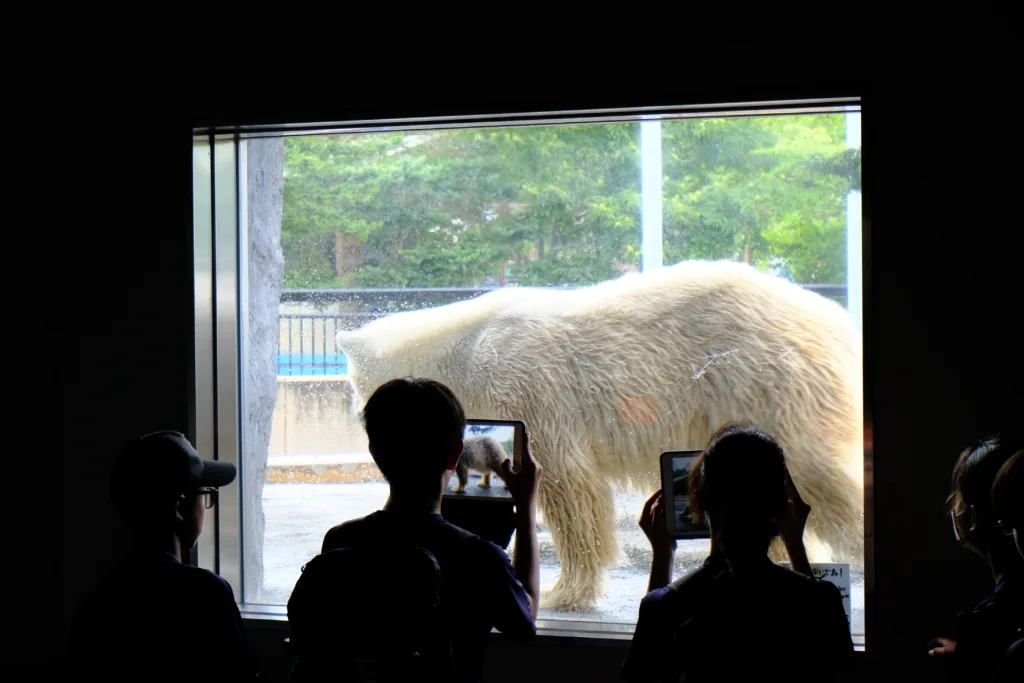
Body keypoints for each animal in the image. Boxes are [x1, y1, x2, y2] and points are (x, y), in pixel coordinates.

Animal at [337, 262, 864, 610]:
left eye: (355, 382)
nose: (357, 414)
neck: (463, 347)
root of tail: (837, 323)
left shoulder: (525, 385)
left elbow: (568, 486)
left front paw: (560, 592)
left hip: (765, 378)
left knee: (818, 473)